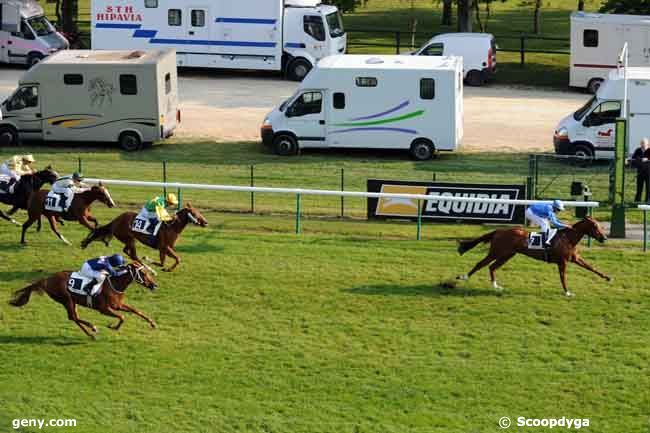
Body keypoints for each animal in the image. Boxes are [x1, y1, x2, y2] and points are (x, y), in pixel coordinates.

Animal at [10, 262, 158, 340]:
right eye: (143, 273)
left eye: (147, 272)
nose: (154, 285)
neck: (114, 284)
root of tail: (47, 279)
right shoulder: (104, 309)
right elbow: (122, 317)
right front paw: (112, 327)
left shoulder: (118, 305)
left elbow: (136, 311)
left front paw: (152, 323)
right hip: (66, 299)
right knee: (73, 317)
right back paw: (92, 329)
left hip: (71, 301)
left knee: (74, 317)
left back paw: (91, 331)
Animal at [80, 204, 208, 272]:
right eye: (194, 213)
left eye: (199, 212)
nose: (205, 222)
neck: (172, 227)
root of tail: (116, 220)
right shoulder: (164, 247)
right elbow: (176, 259)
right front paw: (161, 266)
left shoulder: (165, 248)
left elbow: (165, 262)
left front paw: (164, 268)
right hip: (129, 238)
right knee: (133, 254)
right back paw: (144, 265)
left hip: (129, 239)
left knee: (127, 251)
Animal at [454, 218, 612, 296]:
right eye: (595, 227)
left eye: (599, 226)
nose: (604, 238)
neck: (568, 238)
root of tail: (498, 230)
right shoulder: (562, 262)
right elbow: (563, 277)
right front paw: (567, 292)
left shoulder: (574, 258)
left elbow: (592, 268)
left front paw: (608, 277)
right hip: (497, 252)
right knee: (481, 264)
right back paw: (464, 277)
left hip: (507, 255)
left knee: (492, 267)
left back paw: (496, 286)